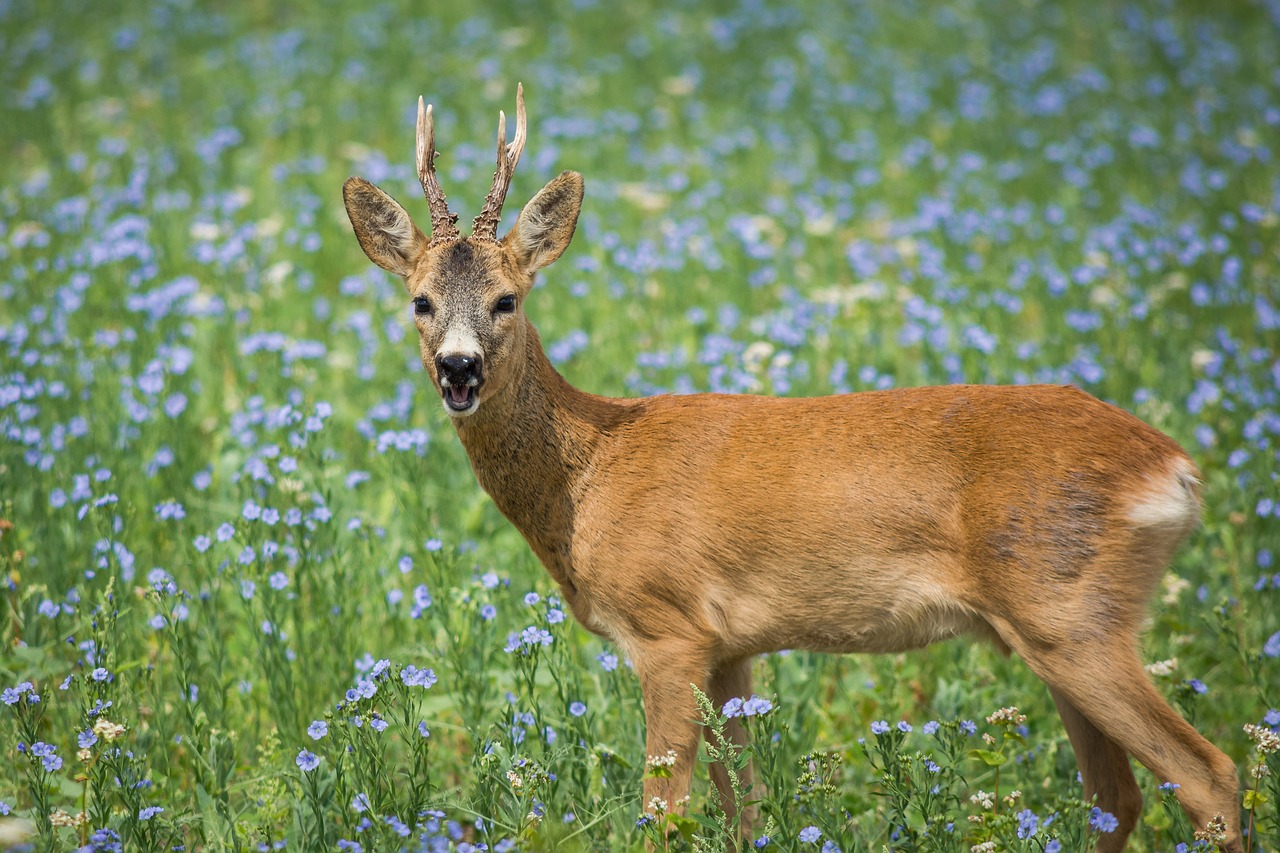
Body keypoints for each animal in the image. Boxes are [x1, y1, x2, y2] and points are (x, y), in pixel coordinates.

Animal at [343, 83, 1239, 845]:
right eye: (421, 300)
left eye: (508, 299)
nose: (459, 368)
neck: (590, 475)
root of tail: (1175, 468)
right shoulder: (731, 645)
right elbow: (747, 808)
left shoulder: (667, 628)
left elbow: (663, 816)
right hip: (1058, 630)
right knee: (1117, 797)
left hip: (1071, 613)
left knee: (1210, 776)